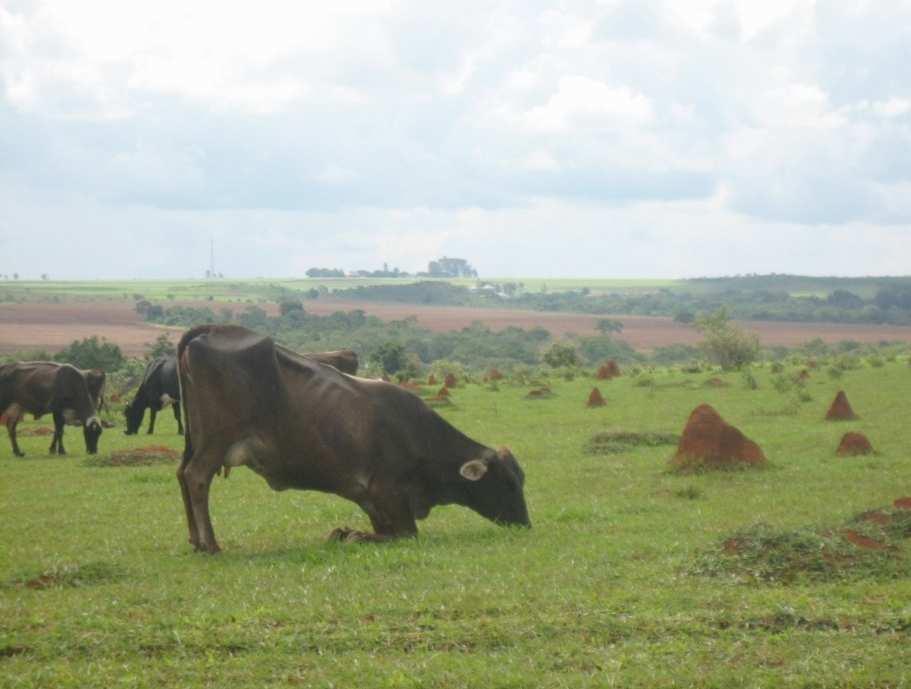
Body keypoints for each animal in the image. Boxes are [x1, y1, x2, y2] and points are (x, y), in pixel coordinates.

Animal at [175, 326, 532, 552]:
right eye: (507, 483)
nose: (526, 524)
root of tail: (213, 329)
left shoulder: (370, 500)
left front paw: (343, 531)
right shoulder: (389, 494)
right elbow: (405, 535)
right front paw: (352, 535)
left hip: (195, 440)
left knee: (181, 474)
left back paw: (195, 541)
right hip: (215, 442)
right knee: (196, 477)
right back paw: (210, 544)